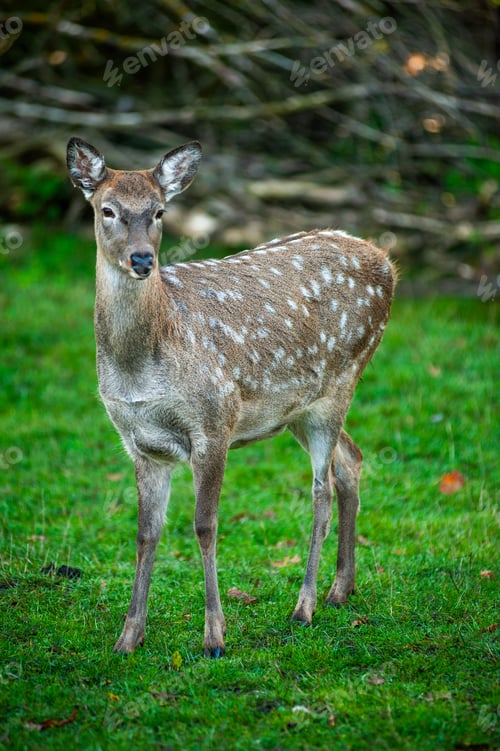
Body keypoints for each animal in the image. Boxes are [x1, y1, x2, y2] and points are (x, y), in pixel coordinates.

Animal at [66, 136, 396, 657]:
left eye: (160, 212)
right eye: (107, 210)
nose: (142, 260)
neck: (141, 369)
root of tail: (386, 261)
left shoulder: (214, 421)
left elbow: (205, 525)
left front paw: (215, 637)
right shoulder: (140, 442)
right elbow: (145, 533)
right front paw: (128, 637)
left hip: (343, 378)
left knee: (321, 489)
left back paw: (304, 606)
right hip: (298, 408)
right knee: (352, 458)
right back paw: (340, 590)